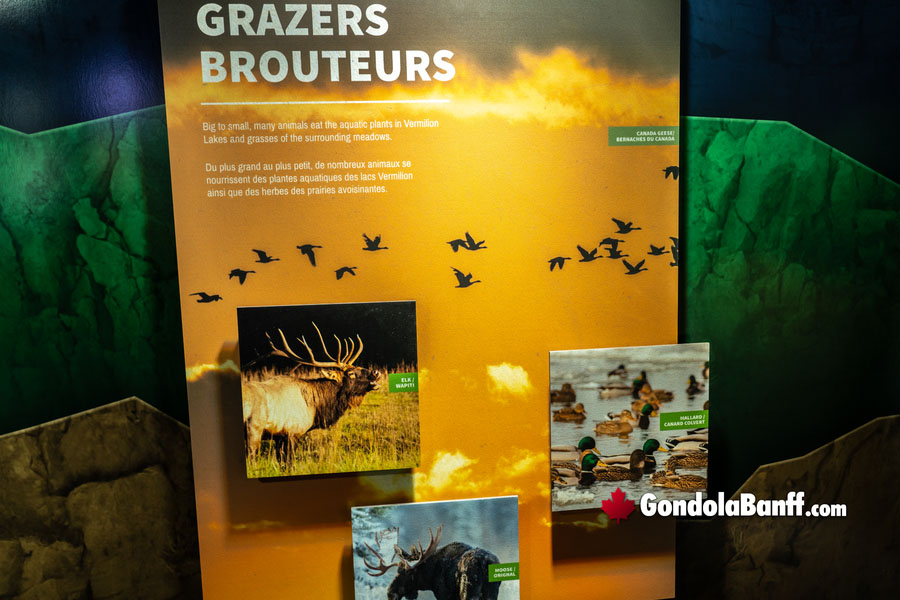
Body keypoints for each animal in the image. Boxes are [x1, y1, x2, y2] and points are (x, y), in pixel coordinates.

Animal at [239, 324, 380, 460]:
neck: (316, 408)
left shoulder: (279, 436)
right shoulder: (292, 432)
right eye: (351, 374)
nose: (376, 372)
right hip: (253, 429)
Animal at [364, 524, 502, 600]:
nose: (390, 593)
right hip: (491, 592)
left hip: (469, 591)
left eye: (407, 572)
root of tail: (484, 562)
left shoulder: (444, 595)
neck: (430, 577)